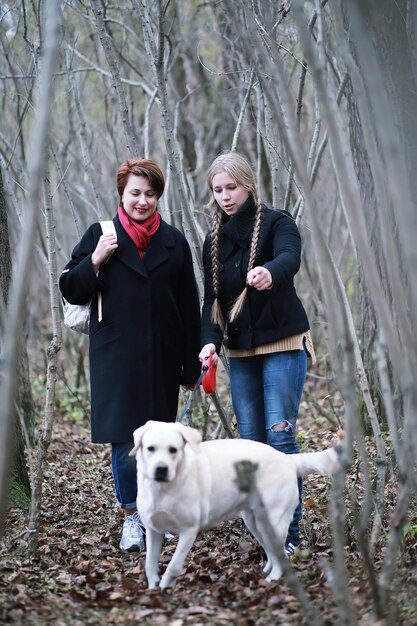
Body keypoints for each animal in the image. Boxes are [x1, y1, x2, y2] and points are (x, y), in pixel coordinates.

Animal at [131, 420, 342, 584]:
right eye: (150, 448)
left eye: (173, 450)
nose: (161, 469)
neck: (163, 490)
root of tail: (287, 459)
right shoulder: (153, 530)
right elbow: (149, 564)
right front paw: (153, 589)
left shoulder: (188, 530)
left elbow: (174, 566)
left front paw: (165, 588)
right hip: (255, 522)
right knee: (271, 550)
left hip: (273, 520)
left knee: (280, 554)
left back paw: (273, 578)